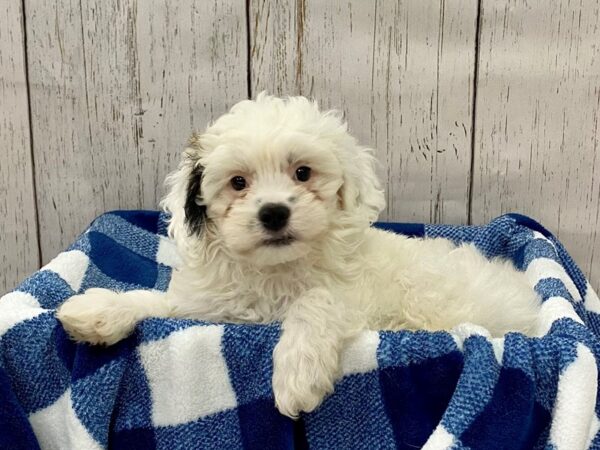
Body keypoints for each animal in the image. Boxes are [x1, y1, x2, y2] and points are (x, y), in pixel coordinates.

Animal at [58, 94, 540, 418]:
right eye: (238, 182)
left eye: (303, 173)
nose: (274, 212)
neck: (273, 271)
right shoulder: (208, 308)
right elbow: (159, 302)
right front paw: (97, 311)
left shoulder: (352, 298)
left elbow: (315, 301)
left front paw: (297, 376)